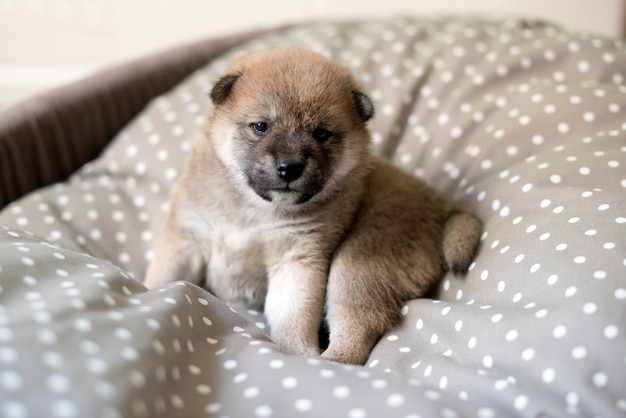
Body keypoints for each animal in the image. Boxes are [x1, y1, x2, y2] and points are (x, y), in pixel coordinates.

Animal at [144, 47, 480, 364]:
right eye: (261, 126)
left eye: (321, 133)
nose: (290, 167)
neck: (253, 210)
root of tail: (443, 206)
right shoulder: (186, 240)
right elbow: (163, 279)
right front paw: (146, 294)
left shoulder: (297, 260)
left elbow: (292, 319)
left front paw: (296, 356)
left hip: (359, 264)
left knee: (357, 329)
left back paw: (328, 362)